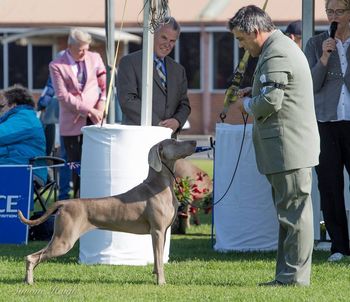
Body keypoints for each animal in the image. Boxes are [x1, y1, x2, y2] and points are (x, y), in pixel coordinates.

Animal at [18, 139, 197, 286]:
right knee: (31, 257)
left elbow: (156, 259)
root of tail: (65, 202)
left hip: (60, 238)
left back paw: (27, 280)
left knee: (35, 257)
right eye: (173, 142)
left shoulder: (162, 232)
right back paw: (30, 281)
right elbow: (159, 261)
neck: (159, 185)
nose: (194, 142)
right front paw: (161, 282)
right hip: (64, 240)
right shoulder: (157, 231)